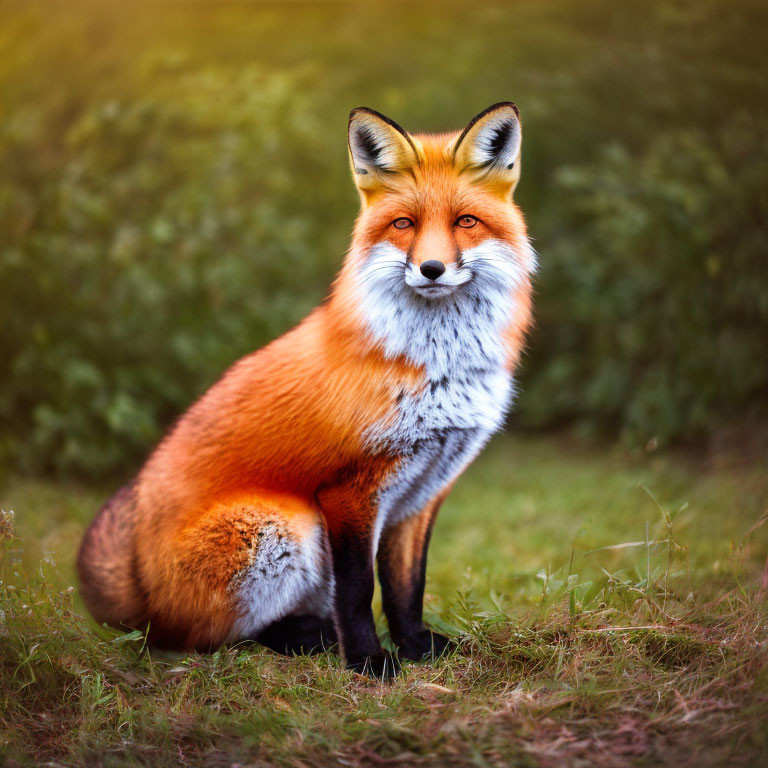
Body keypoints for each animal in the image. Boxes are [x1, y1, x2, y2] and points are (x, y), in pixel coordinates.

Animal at [78, 103, 536, 680]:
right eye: (404, 224)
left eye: (465, 222)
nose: (431, 269)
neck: (437, 368)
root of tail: (140, 594)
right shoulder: (350, 491)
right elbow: (360, 590)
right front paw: (367, 661)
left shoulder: (423, 492)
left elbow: (406, 588)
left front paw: (414, 647)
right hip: (284, 527)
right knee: (205, 640)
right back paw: (307, 639)